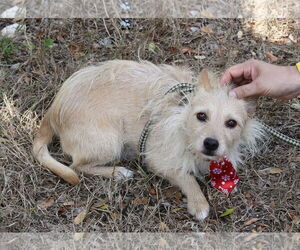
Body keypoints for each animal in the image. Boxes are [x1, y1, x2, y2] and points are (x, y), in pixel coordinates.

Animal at [32, 59, 262, 220]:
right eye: (201, 116)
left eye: (231, 123)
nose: (211, 143)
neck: (181, 115)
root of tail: (53, 111)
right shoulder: (157, 159)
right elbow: (186, 176)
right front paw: (199, 203)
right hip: (110, 141)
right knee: (77, 166)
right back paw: (118, 172)